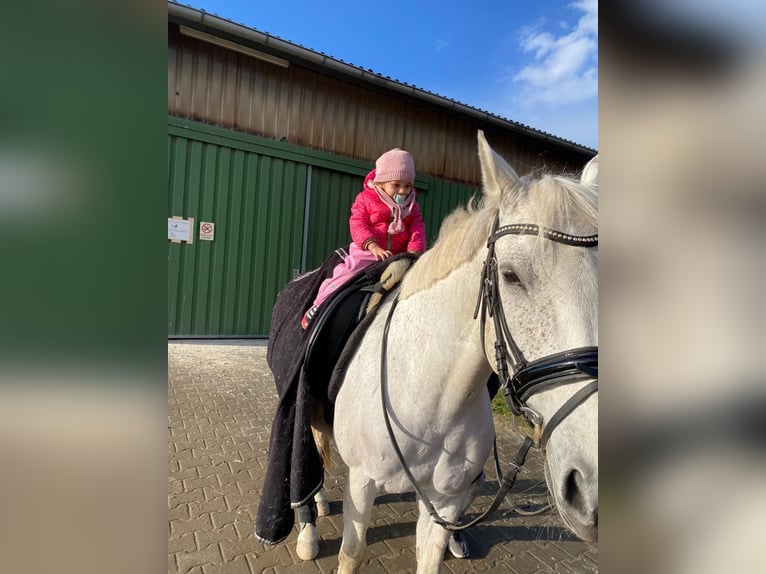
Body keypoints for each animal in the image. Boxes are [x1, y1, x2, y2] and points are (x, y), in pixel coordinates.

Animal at [296, 133, 596, 572]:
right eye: (510, 275)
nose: (589, 485)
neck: (428, 394)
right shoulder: (362, 483)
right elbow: (351, 554)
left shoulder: (447, 498)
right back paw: (308, 522)